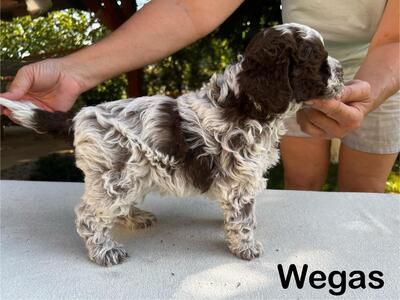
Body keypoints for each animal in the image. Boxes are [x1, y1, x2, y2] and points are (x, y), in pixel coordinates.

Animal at [0, 24, 344, 268]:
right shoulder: (241, 179)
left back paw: (134, 217)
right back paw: (105, 250)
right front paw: (246, 247)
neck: (246, 102)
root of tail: (79, 116)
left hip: (132, 174)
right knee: (89, 216)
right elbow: (244, 217)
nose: (341, 71)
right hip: (116, 177)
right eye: (316, 58)